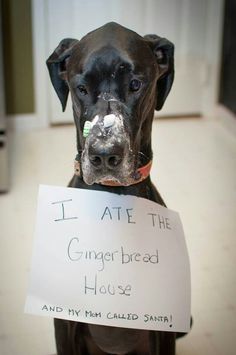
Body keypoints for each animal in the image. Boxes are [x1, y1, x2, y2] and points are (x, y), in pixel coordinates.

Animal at [47, 23, 177, 355]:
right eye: (81, 88)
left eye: (135, 84)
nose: (104, 154)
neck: (111, 194)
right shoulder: (64, 323)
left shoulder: (163, 330)